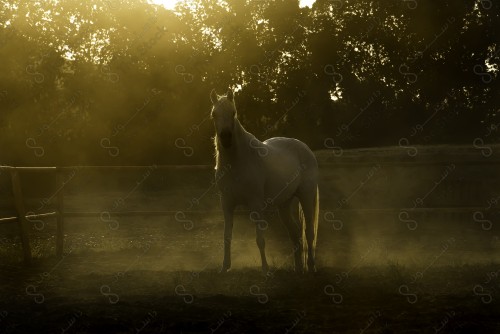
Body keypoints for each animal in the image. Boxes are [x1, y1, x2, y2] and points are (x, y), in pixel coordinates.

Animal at [208, 88, 318, 274]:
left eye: (233, 112)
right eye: (214, 114)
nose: (226, 138)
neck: (238, 161)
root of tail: (304, 148)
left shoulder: (256, 205)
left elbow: (260, 239)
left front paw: (265, 269)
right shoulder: (227, 203)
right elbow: (226, 236)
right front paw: (224, 267)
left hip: (306, 196)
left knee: (309, 232)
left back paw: (310, 266)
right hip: (284, 204)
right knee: (295, 233)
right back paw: (297, 269)